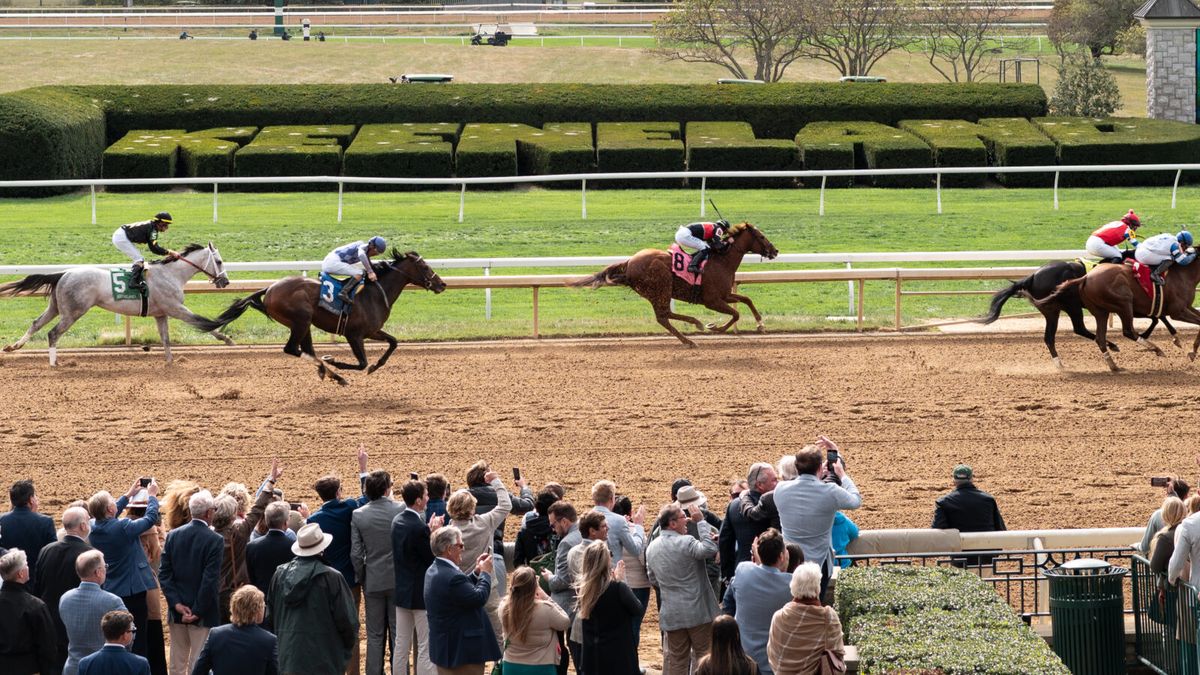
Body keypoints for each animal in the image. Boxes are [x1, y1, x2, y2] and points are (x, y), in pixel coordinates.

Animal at [2, 241, 232, 365]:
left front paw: (169, 362)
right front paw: (227, 338)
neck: (171, 274)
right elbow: (202, 322)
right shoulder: (175, 308)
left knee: (36, 324)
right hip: (73, 312)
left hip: (56, 307)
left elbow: (166, 339)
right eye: (219, 261)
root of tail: (63, 273)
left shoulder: (161, 313)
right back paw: (54, 363)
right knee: (53, 333)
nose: (225, 282)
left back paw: (13, 347)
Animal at [212, 248, 446, 384]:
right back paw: (333, 371)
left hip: (303, 324)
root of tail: (270, 288)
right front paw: (335, 360)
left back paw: (329, 372)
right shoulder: (354, 334)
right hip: (301, 320)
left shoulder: (372, 331)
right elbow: (361, 363)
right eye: (424, 266)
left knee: (305, 350)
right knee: (292, 349)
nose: (442, 284)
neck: (375, 293)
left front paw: (376, 366)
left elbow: (394, 342)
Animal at [568, 222, 777, 345]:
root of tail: (629, 263)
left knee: (663, 317)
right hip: (661, 286)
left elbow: (746, 299)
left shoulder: (724, 295)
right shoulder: (711, 300)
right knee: (663, 315)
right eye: (761, 237)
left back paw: (689, 338)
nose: (775, 251)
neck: (722, 261)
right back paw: (695, 328)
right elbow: (735, 314)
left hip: (655, 291)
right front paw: (713, 327)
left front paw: (760, 324)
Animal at [984, 261, 1180, 367]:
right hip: (1071, 305)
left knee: (1051, 336)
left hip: (1052, 310)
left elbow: (1158, 316)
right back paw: (1111, 345)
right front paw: (1165, 338)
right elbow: (1158, 316)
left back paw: (1060, 364)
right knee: (1079, 328)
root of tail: (1032, 276)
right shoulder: (1133, 305)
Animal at [1036, 258, 1200, 372]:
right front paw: (1185, 346)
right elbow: (1161, 318)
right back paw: (1154, 349)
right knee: (1125, 331)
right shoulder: (1175, 310)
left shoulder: (1180, 307)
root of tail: (1085, 278)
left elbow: (1159, 318)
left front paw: (1185, 345)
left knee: (1093, 337)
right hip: (1119, 303)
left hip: (1086, 311)